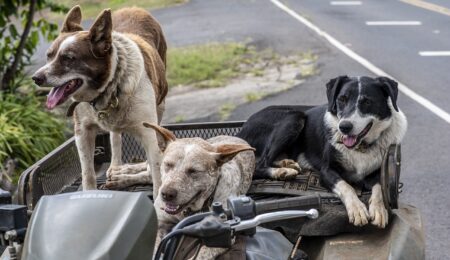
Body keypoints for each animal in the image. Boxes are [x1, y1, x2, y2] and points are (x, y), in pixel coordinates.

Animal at [31, 6, 168, 197]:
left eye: (68, 58)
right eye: (49, 56)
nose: (36, 78)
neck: (109, 88)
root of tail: (134, 8)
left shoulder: (149, 133)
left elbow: (157, 177)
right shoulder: (82, 131)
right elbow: (88, 173)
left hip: (160, 105)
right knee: (115, 136)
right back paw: (116, 168)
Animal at [144, 123, 255, 258]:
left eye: (193, 171)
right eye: (168, 164)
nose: (166, 194)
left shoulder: (223, 234)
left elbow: (202, 254)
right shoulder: (160, 222)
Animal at [239, 75, 408, 228]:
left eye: (367, 102)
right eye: (342, 99)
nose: (344, 127)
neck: (360, 147)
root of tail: (241, 129)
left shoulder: (377, 172)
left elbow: (379, 187)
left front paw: (379, 209)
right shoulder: (326, 171)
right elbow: (346, 186)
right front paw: (357, 209)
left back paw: (287, 164)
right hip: (294, 118)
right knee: (258, 165)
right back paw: (282, 172)